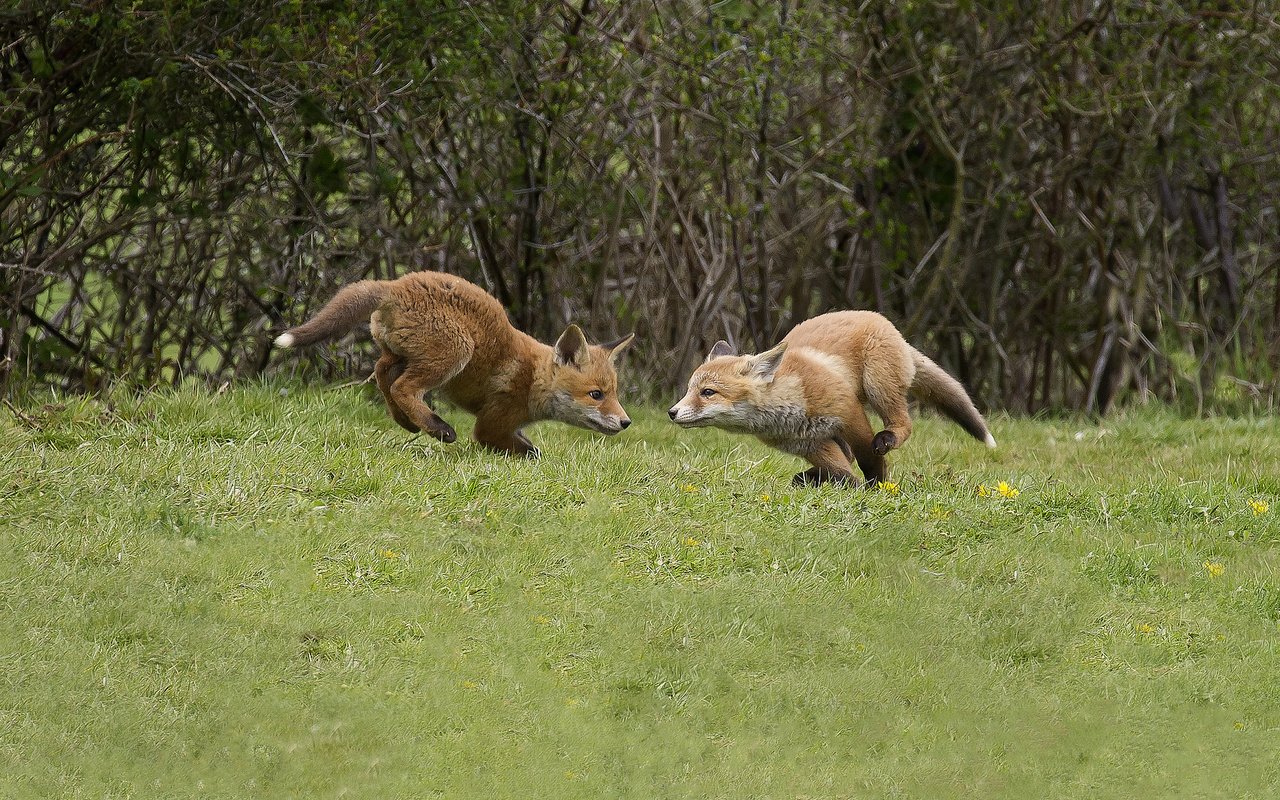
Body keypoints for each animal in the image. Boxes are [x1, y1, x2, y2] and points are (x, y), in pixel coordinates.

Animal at [276, 270, 634, 455]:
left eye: (614, 393)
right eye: (596, 395)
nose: (626, 422)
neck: (534, 379)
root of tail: (396, 284)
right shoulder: (491, 425)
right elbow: (528, 451)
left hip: (401, 354)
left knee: (381, 373)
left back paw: (408, 422)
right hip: (456, 351)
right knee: (403, 387)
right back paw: (436, 427)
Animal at [670, 312, 998, 486]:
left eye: (707, 392)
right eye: (689, 390)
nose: (672, 413)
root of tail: (885, 322)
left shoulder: (849, 415)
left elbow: (868, 460)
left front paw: (876, 487)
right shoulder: (811, 444)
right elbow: (841, 471)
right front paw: (849, 485)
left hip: (879, 386)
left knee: (903, 424)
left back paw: (887, 439)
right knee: (844, 459)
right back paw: (812, 478)